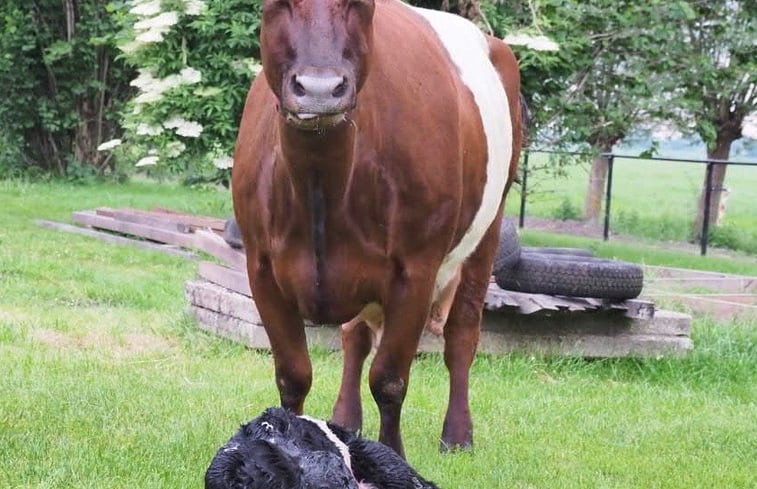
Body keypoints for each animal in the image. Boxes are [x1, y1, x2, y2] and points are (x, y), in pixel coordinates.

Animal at [233, 0, 524, 458]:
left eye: (361, 4)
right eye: (275, 4)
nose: (320, 88)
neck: (321, 183)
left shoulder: (416, 269)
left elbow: (389, 379)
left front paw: (394, 456)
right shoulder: (260, 266)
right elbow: (292, 375)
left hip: (489, 229)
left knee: (462, 334)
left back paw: (458, 435)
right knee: (356, 337)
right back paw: (346, 419)